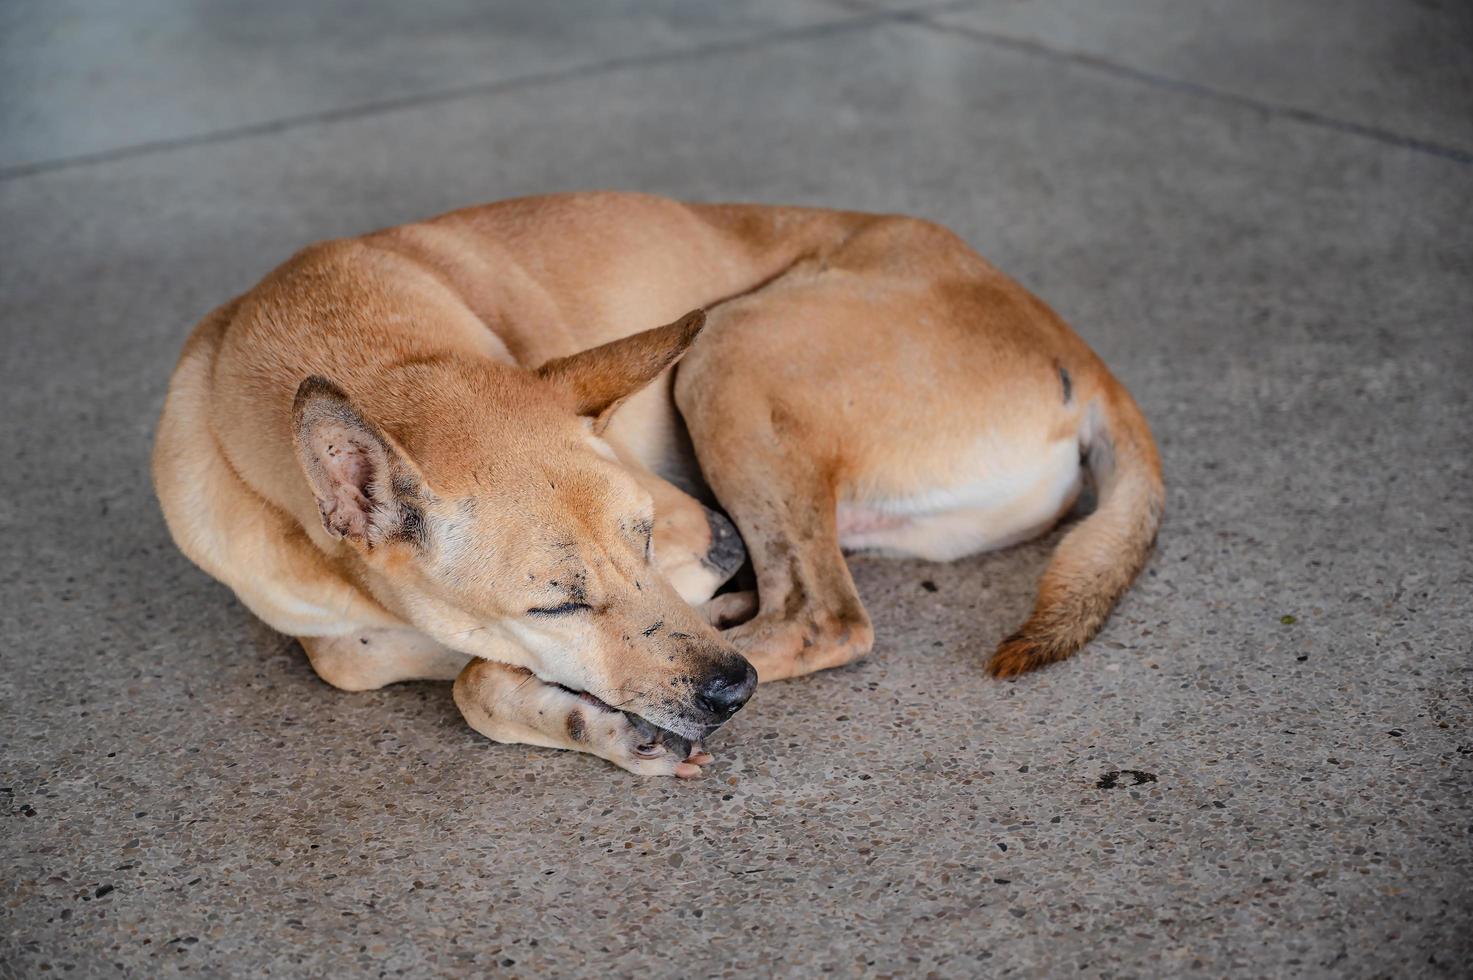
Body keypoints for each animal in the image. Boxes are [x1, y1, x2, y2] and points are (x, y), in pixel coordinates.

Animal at [149, 191, 1160, 778]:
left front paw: (566, 709)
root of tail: (1078, 352)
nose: (731, 693)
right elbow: (365, 657)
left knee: (823, 617)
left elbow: (472, 680)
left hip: (731, 351)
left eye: (641, 539)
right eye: (554, 602)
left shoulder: (692, 525)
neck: (369, 346)